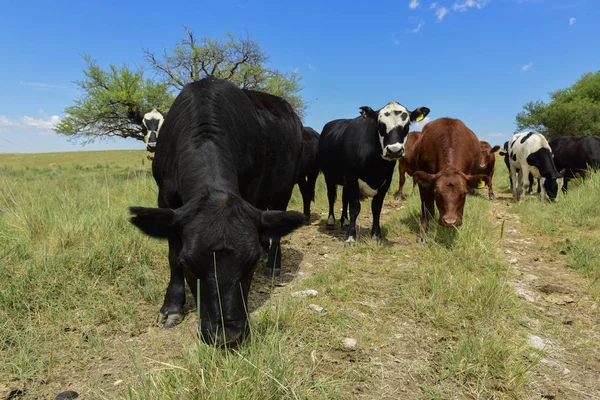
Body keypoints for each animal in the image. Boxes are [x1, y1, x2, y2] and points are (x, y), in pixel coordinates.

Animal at [127, 76, 304, 346]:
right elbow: (172, 254)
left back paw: (273, 263)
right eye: (188, 263)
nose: (227, 334)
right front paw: (172, 307)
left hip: (284, 187)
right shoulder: (165, 198)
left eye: (250, 263)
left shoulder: (251, 189)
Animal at [318, 101, 432, 245]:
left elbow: (376, 208)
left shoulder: (386, 181)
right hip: (329, 176)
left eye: (406, 126)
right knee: (331, 197)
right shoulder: (352, 178)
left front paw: (376, 235)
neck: (375, 166)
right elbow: (354, 207)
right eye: (380, 125)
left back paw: (344, 221)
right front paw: (351, 237)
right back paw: (331, 221)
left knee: (344, 199)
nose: (394, 151)